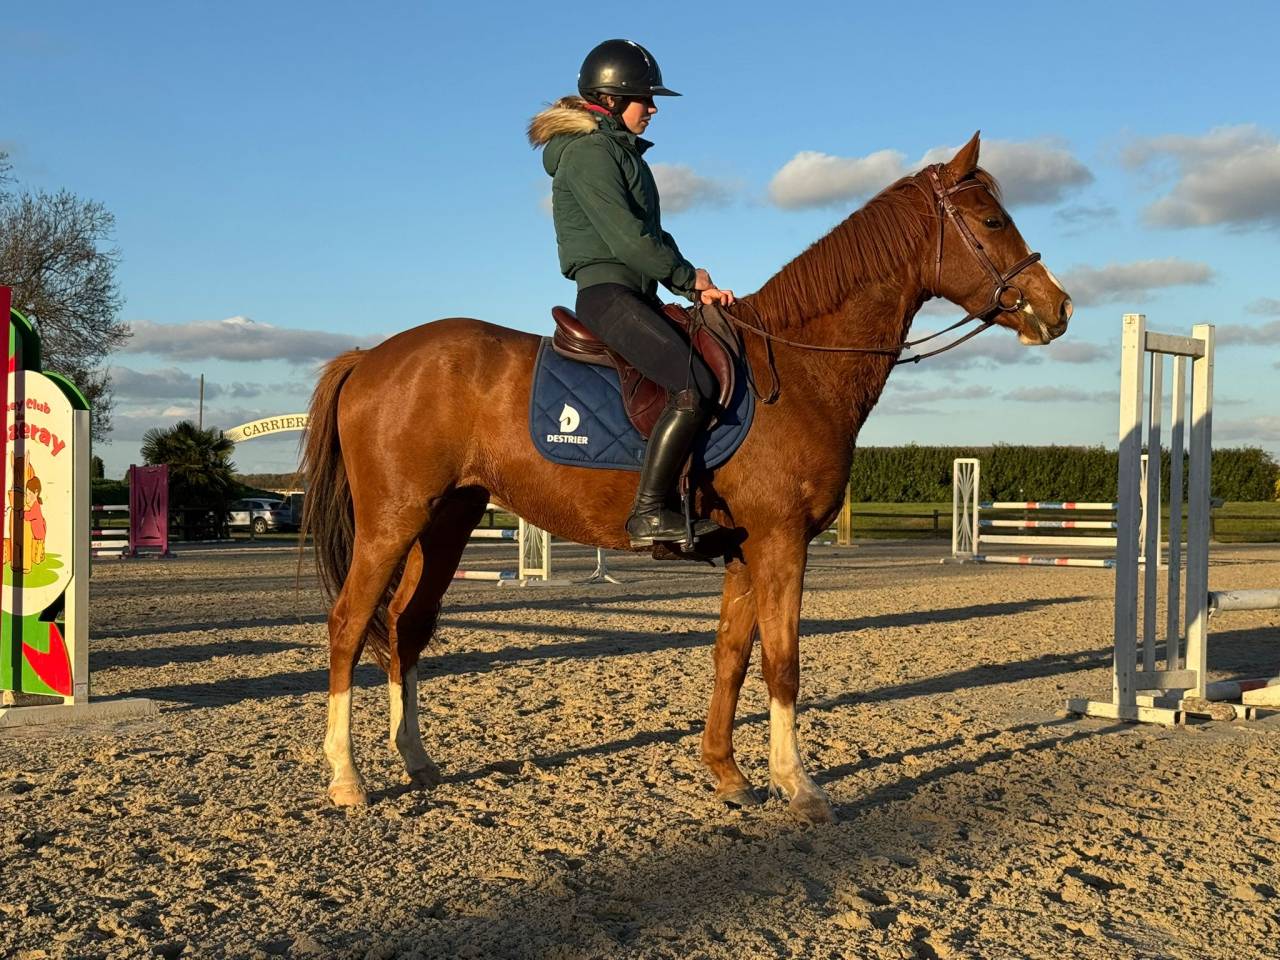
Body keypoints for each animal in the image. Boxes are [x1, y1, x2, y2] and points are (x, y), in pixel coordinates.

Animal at [301, 133, 1072, 824]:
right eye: (993, 221)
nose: (1059, 307)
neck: (799, 368)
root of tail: (372, 357)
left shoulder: (744, 549)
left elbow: (731, 656)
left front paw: (727, 775)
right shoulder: (782, 542)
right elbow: (783, 662)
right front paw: (800, 787)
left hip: (446, 523)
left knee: (406, 626)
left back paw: (416, 760)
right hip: (393, 521)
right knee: (348, 625)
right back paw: (346, 780)